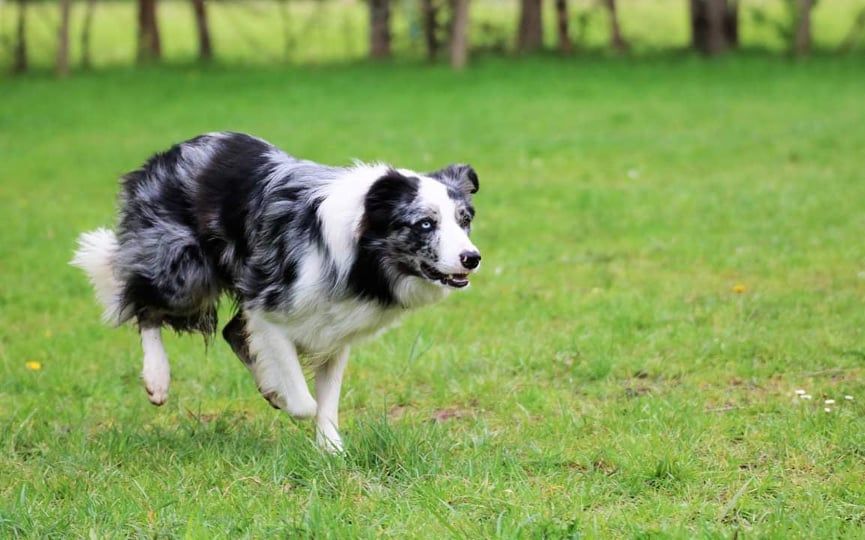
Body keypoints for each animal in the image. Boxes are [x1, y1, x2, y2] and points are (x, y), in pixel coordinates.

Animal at [71, 131, 481, 452]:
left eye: (464, 220)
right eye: (425, 224)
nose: (472, 258)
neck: (363, 258)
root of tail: (164, 156)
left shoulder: (335, 332)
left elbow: (327, 402)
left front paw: (331, 451)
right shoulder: (268, 311)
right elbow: (305, 402)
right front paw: (286, 395)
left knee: (229, 331)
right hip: (183, 272)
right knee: (144, 306)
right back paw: (157, 378)